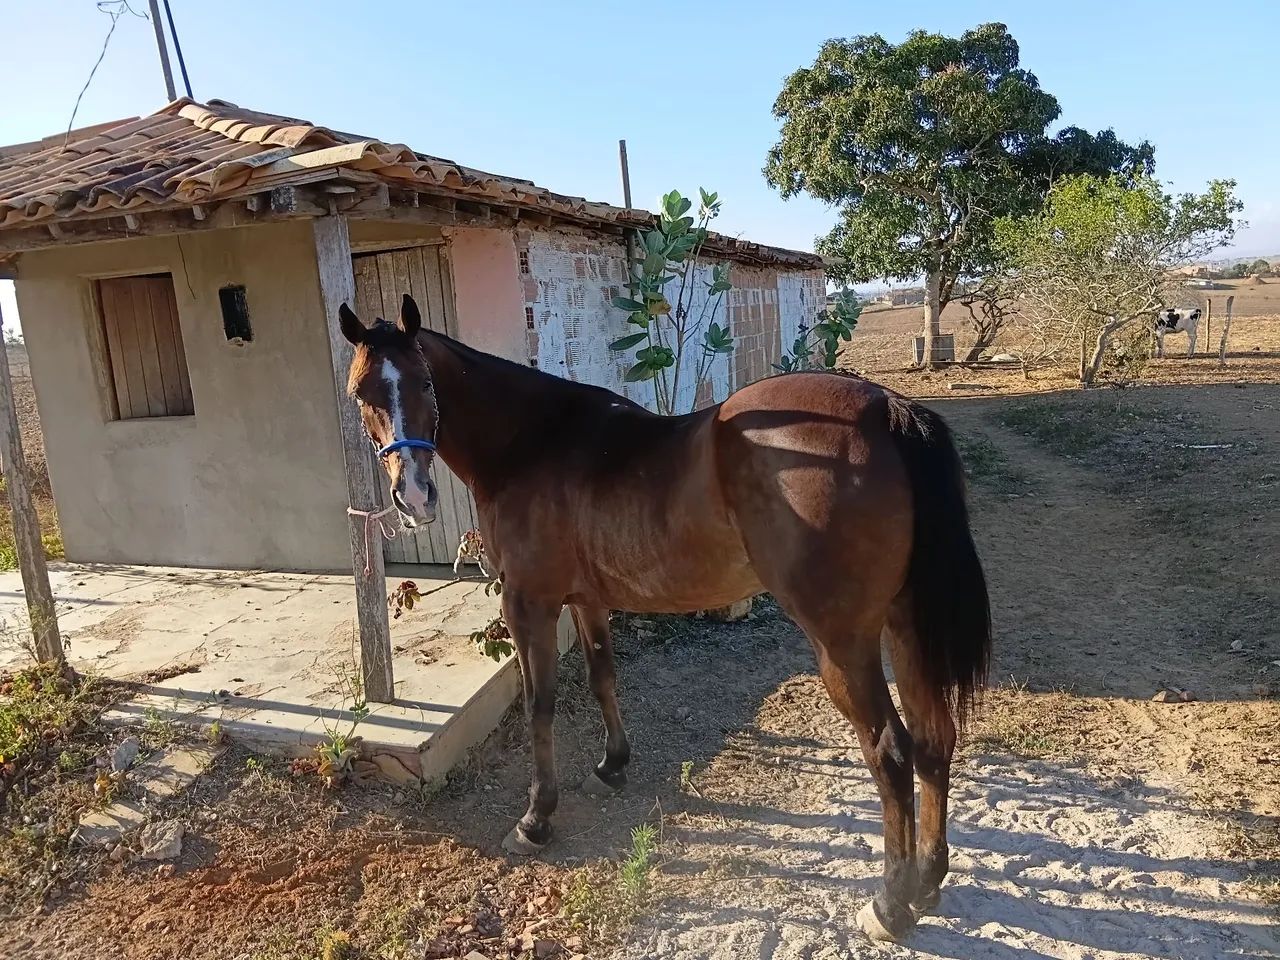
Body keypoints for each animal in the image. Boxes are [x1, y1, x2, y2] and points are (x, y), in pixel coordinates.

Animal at [339, 294, 991, 942]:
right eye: (361, 392)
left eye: (425, 382)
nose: (414, 496)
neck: (532, 441)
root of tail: (885, 408)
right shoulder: (587, 601)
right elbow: (602, 677)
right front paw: (611, 766)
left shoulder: (528, 603)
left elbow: (539, 705)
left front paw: (536, 819)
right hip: (904, 628)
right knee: (934, 738)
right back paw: (928, 882)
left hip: (843, 644)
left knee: (891, 752)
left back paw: (890, 905)